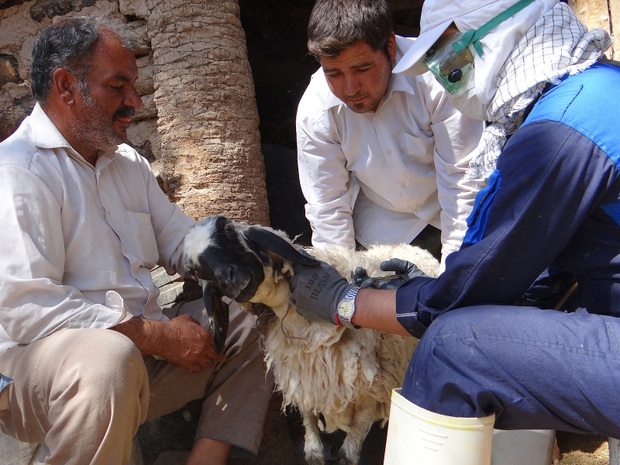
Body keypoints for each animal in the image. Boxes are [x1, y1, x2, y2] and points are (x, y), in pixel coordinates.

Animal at [182, 215, 438, 464]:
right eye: (195, 271)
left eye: (227, 229)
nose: (229, 280)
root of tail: (409, 246)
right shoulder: (305, 385)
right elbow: (313, 452)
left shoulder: (369, 393)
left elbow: (347, 456)